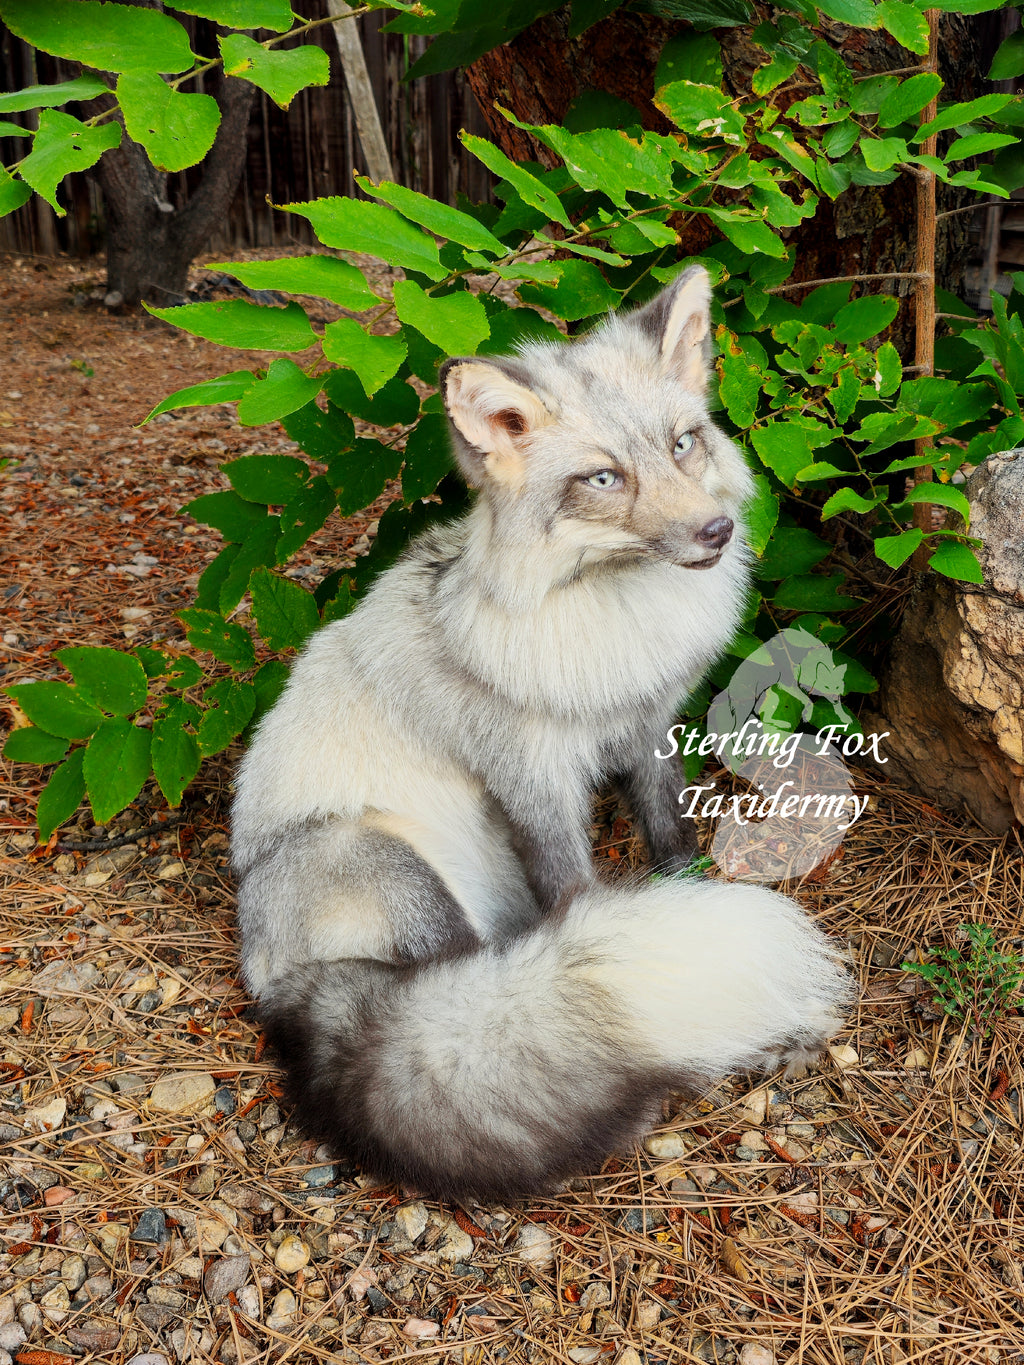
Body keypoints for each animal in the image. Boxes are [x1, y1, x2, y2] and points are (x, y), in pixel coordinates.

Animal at [231, 265, 852, 1203]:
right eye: (602, 478)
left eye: (683, 444)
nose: (714, 532)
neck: (614, 627)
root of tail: (272, 974)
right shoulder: (532, 773)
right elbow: (575, 889)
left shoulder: (645, 725)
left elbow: (673, 839)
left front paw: (683, 896)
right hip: (386, 863)